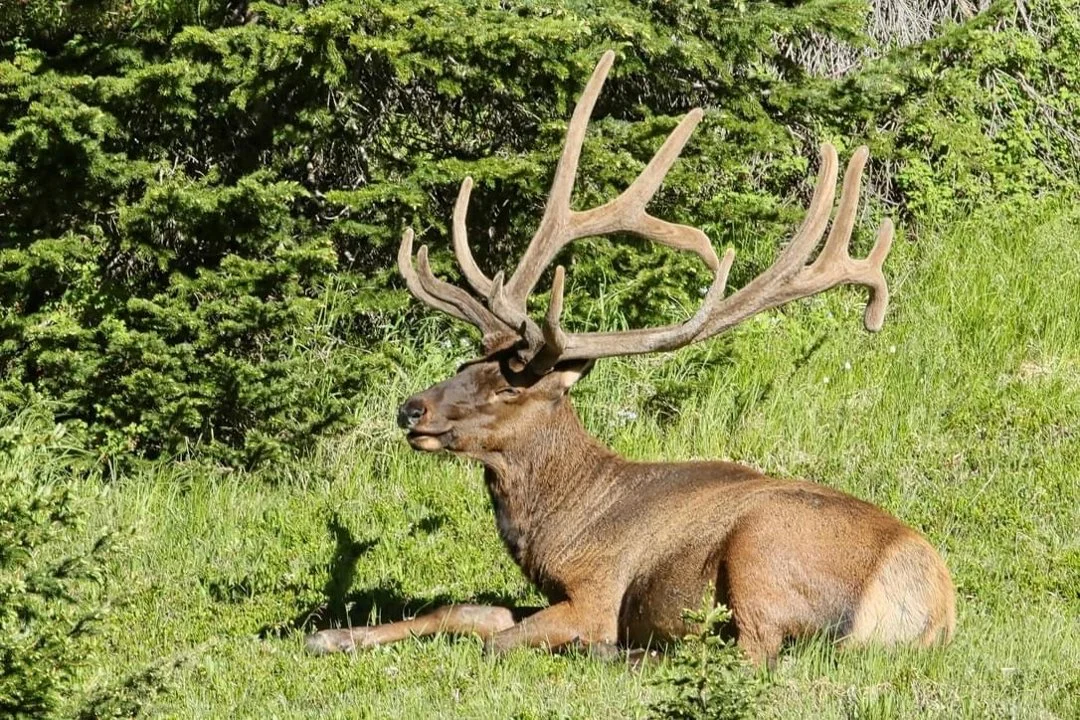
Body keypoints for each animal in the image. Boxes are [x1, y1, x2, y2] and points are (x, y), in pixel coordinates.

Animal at [306, 51, 956, 669]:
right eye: (468, 364)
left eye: (510, 386)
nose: (411, 409)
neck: (563, 528)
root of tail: (931, 606)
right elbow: (467, 609)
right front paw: (330, 636)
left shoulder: (597, 589)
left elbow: (501, 638)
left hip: (762, 553)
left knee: (751, 655)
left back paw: (624, 653)